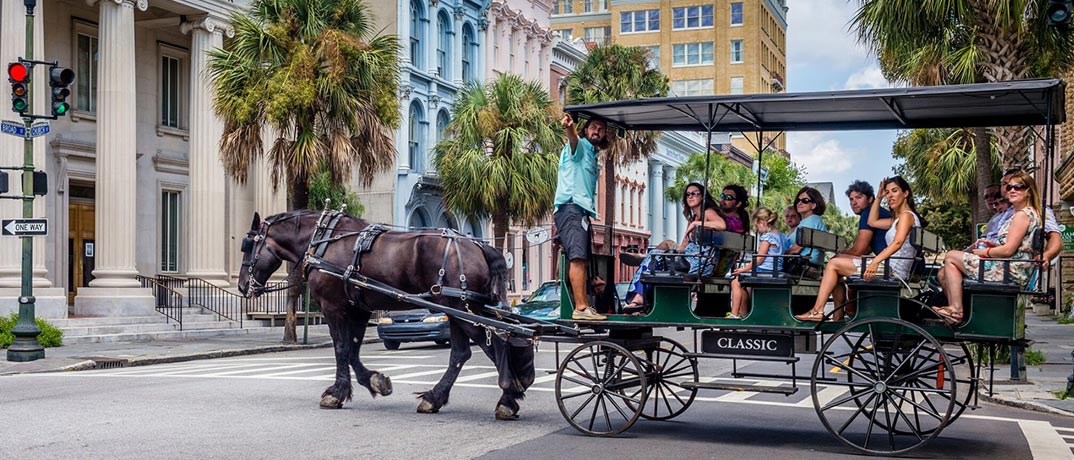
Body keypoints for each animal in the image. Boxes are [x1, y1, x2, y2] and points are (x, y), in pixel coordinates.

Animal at [237, 211, 534, 421]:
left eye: (248, 246)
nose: (241, 286)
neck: (322, 242)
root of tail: (478, 245)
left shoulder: (333, 306)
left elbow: (341, 348)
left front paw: (336, 394)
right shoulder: (358, 308)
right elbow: (352, 351)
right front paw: (375, 382)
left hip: (461, 311)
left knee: (494, 343)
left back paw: (507, 400)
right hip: (460, 310)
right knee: (461, 353)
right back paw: (434, 398)